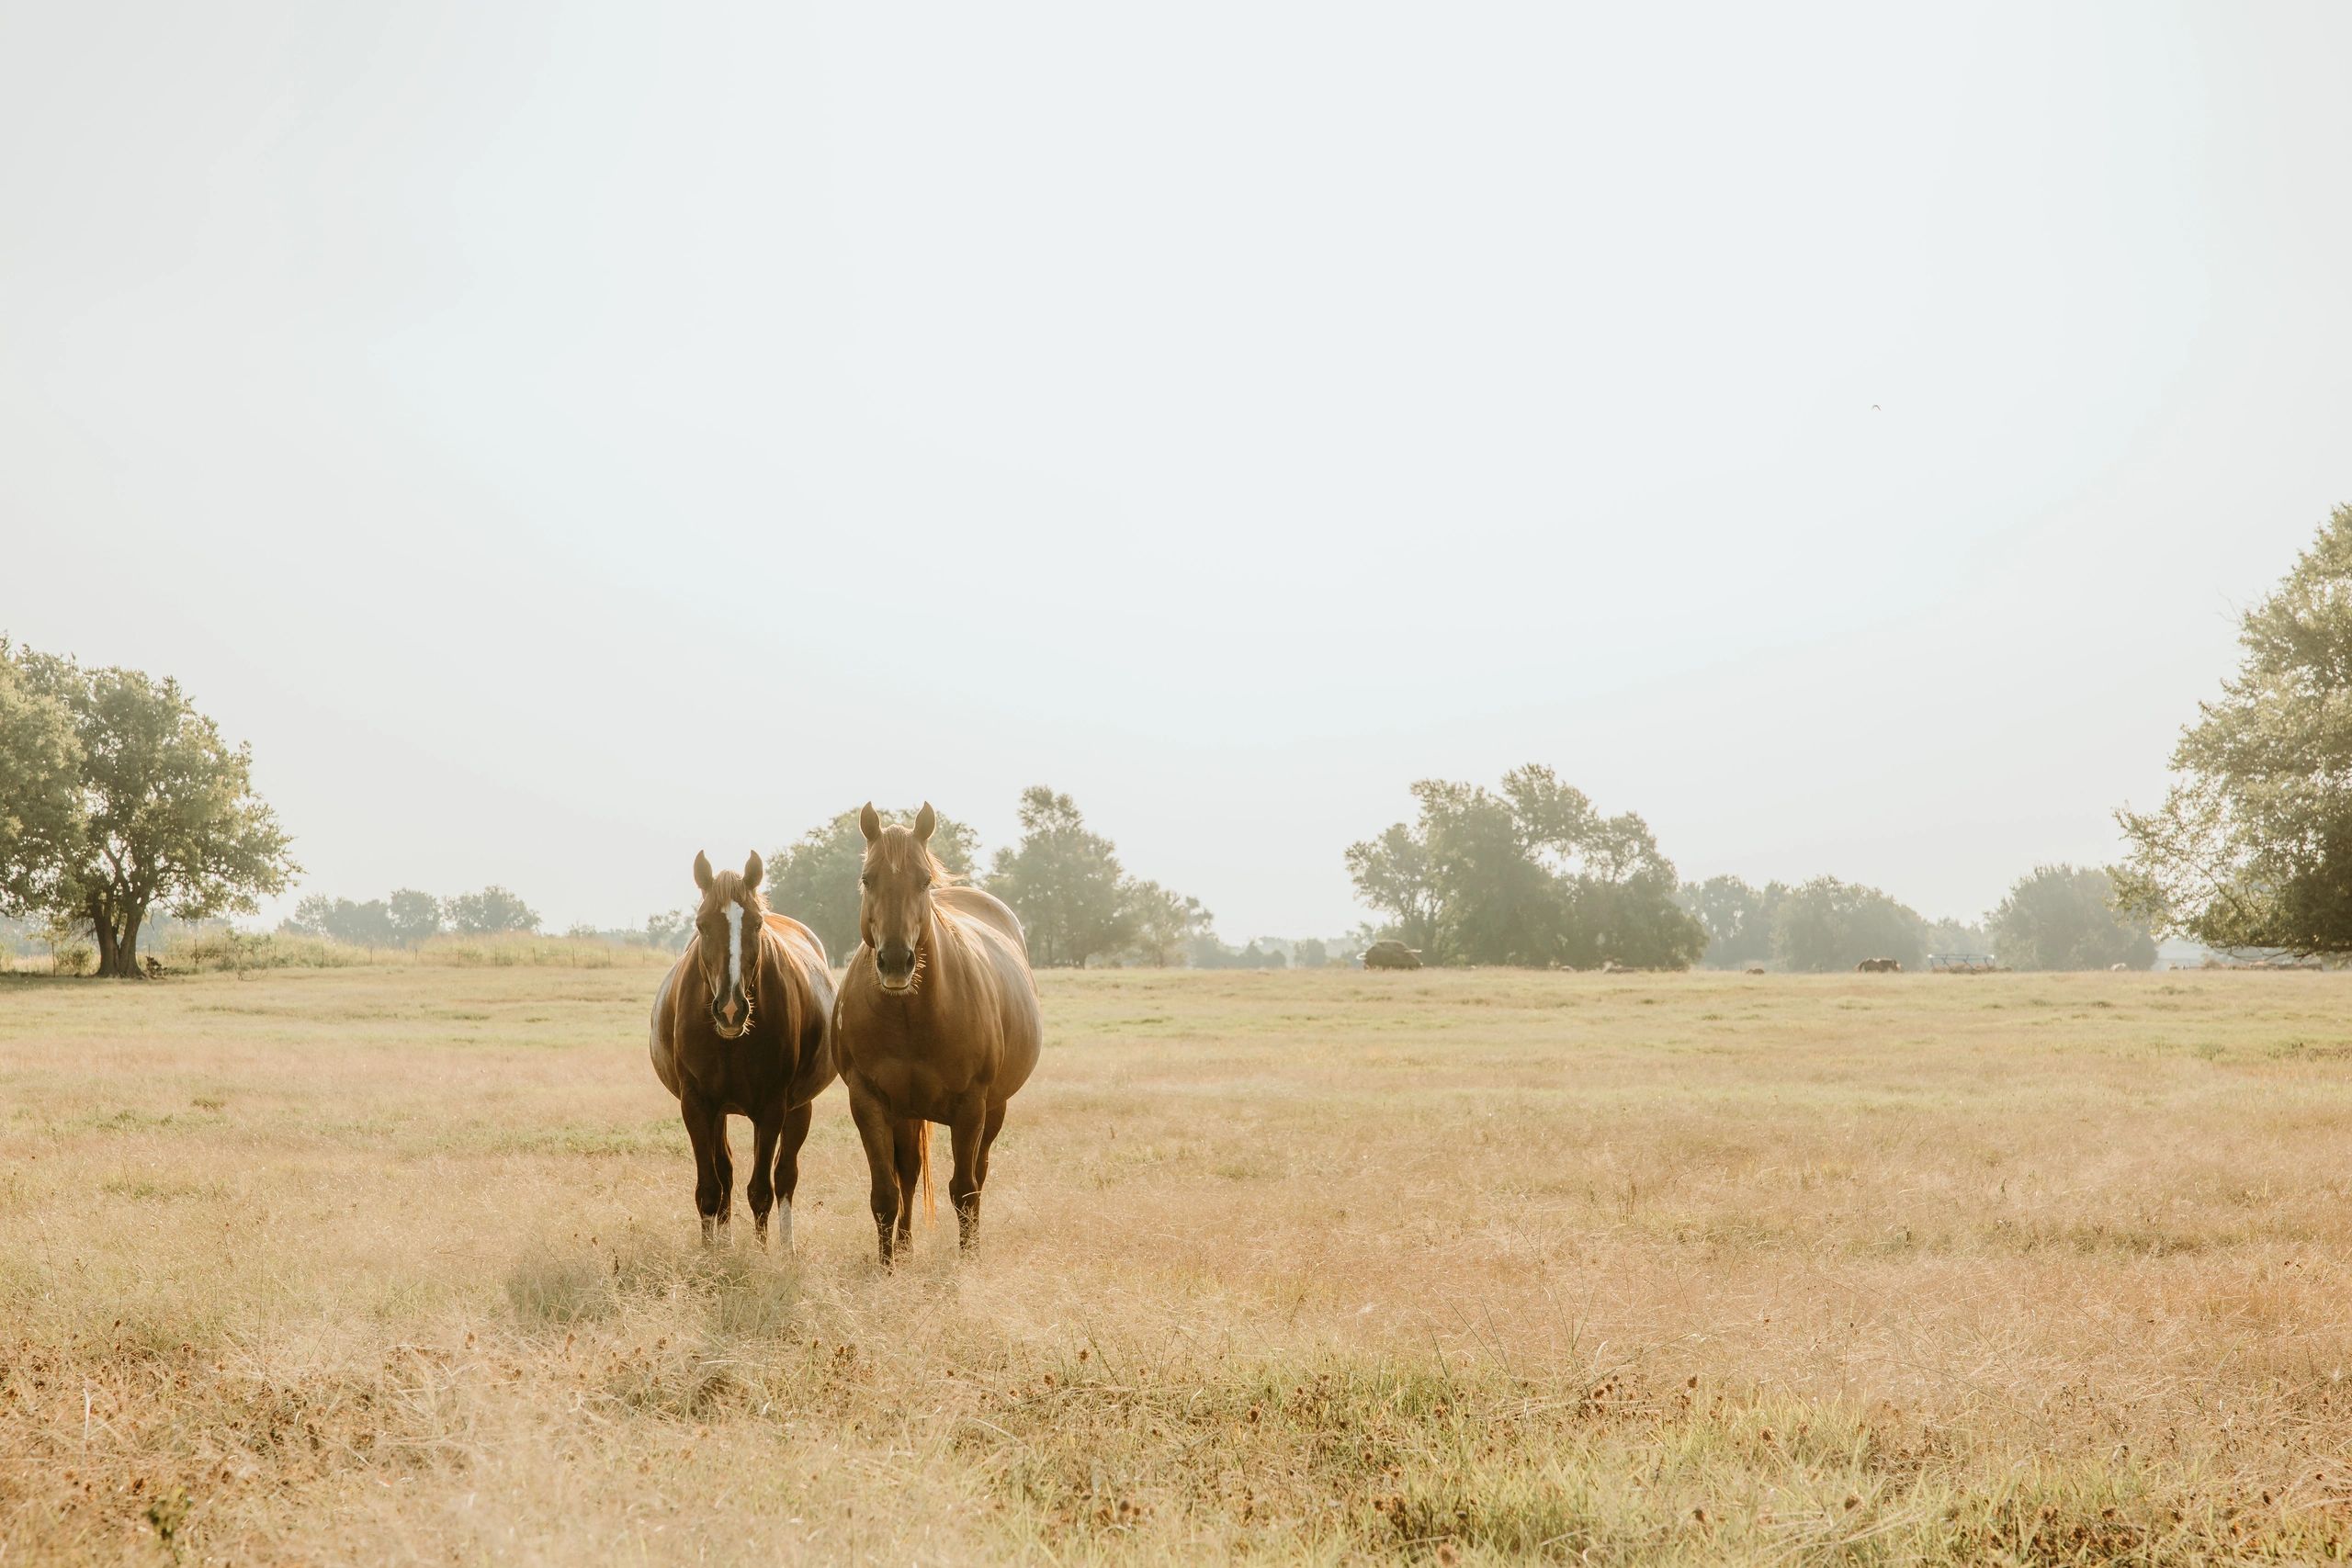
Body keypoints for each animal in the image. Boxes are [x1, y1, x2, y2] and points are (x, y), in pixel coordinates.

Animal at [648, 851, 837, 1247]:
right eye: (702, 925)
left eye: (755, 924)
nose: (731, 1009)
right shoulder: (696, 1105)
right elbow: (709, 1189)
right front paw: (710, 1254)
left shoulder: (772, 1108)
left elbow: (761, 1190)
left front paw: (762, 1254)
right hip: (719, 1114)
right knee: (726, 1175)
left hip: (799, 1109)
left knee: (784, 1177)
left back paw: (785, 1248)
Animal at [834, 803, 1041, 1265]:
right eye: (867, 878)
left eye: (924, 879)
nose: (896, 962)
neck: (910, 1018)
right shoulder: (869, 1102)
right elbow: (885, 1193)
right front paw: (888, 1266)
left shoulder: (971, 1106)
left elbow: (964, 1189)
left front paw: (967, 1263)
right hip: (908, 1112)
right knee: (909, 1175)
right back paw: (905, 1249)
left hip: (994, 1109)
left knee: (978, 1174)